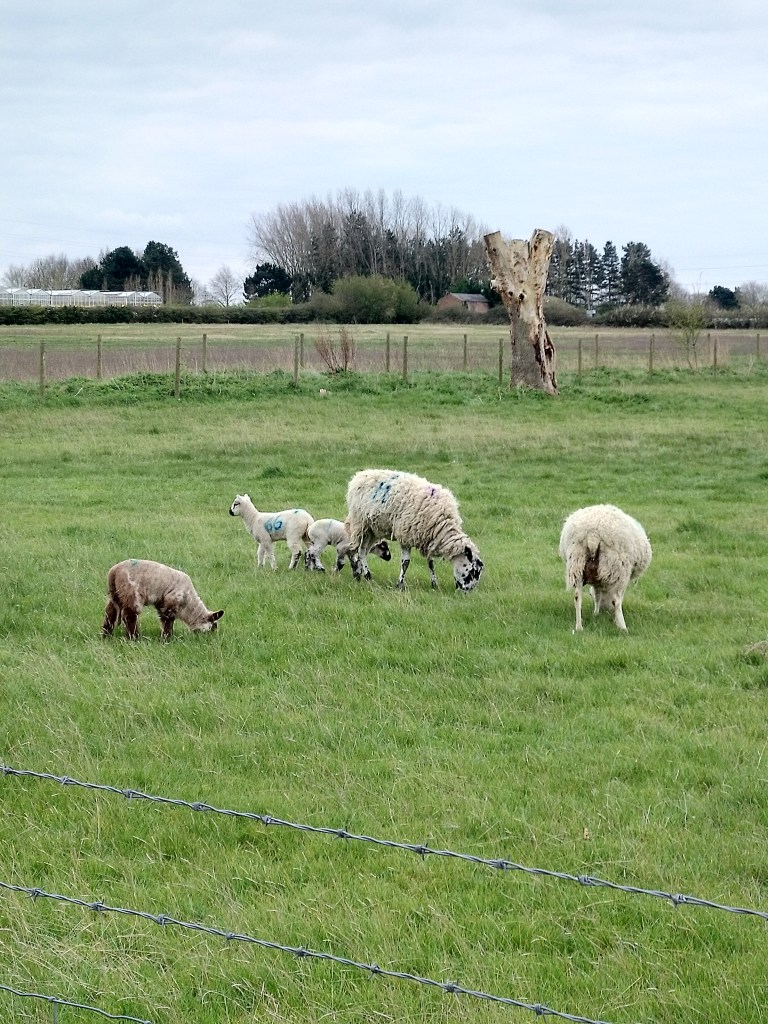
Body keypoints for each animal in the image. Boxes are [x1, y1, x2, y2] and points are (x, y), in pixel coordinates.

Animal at [344, 468, 484, 591]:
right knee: (360, 550)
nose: (467, 592)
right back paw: (366, 575)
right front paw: (400, 585)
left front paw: (434, 584)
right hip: (361, 524)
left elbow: (430, 562)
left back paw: (360, 573)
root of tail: (359, 475)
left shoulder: (429, 539)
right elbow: (405, 563)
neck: (442, 525)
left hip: (374, 530)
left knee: (364, 550)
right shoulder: (405, 535)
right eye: (473, 571)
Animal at [559, 504, 652, 632]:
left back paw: (579, 627)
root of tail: (592, 535)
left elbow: (597, 596)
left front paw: (596, 613)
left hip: (577, 561)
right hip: (616, 566)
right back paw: (623, 627)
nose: (605, 610)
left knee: (577, 597)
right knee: (616, 600)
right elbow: (617, 598)